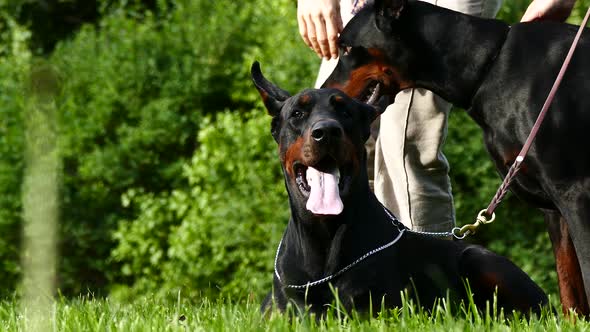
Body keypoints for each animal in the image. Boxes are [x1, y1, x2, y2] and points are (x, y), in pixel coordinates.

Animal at [251, 61, 552, 316]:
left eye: (345, 111)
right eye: (297, 113)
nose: (326, 131)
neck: (323, 235)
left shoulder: (375, 310)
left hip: (479, 259)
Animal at [322, 0, 590, 314]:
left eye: (347, 48)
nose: (320, 95)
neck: (489, 68)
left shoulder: (574, 194)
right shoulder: (554, 210)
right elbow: (570, 288)